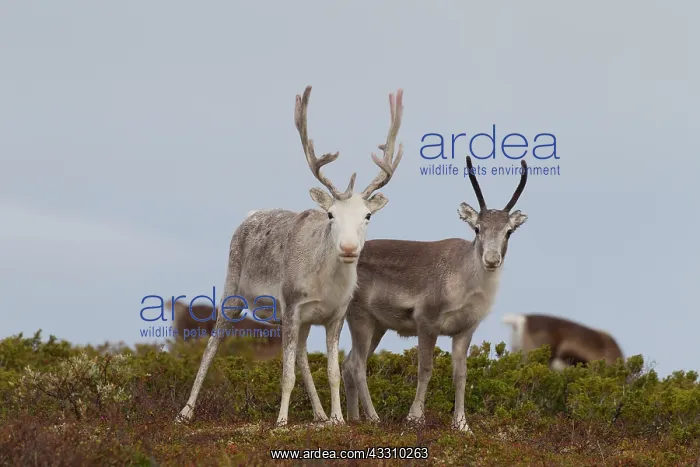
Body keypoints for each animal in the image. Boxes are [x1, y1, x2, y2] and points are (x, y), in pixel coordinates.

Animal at [176, 85, 404, 427]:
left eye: (367, 216)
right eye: (331, 215)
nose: (349, 248)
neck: (326, 285)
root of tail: (249, 215)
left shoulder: (335, 314)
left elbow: (333, 371)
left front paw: (338, 419)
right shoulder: (291, 304)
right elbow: (285, 375)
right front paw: (281, 422)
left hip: (301, 320)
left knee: (301, 356)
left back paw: (320, 414)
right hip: (233, 288)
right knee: (212, 343)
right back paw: (185, 412)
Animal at [333, 155, 529, 433]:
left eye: (508, 231)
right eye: (477, 228)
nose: (492, 260)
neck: (465, 281)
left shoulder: (465, 329)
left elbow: (461, 374)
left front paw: (462, 424)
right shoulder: (426, 321)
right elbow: (425, 368)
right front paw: (415, 417)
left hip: (379, 325)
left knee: (349, 364)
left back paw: (354, 419)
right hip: (360, 318)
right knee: (357, 365)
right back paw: (373, 417)